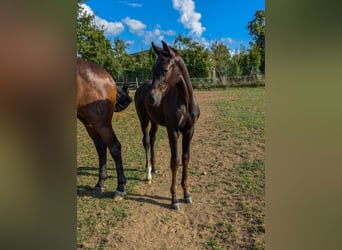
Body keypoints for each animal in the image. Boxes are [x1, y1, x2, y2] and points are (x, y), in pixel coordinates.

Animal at [77, 57, 132, 201]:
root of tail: (108, 77)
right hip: (90, 123)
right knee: (101, 146)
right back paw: (100, 183)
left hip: (101, 123)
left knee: (114, 146)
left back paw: (120, 188)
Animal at [135, 40, 200, 209]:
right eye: (153, 70)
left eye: (165, 69)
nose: (152, 98)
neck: (185, 102)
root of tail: (141, 87)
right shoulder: (173, 130)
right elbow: (175, 161)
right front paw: (174, 199)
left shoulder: (189, 130)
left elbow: (185, 158)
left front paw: (187, 194)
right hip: (144, 120)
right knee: (146, 140)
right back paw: (148, 174)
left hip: (154, 121)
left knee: (152, 138)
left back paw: (155, 168)